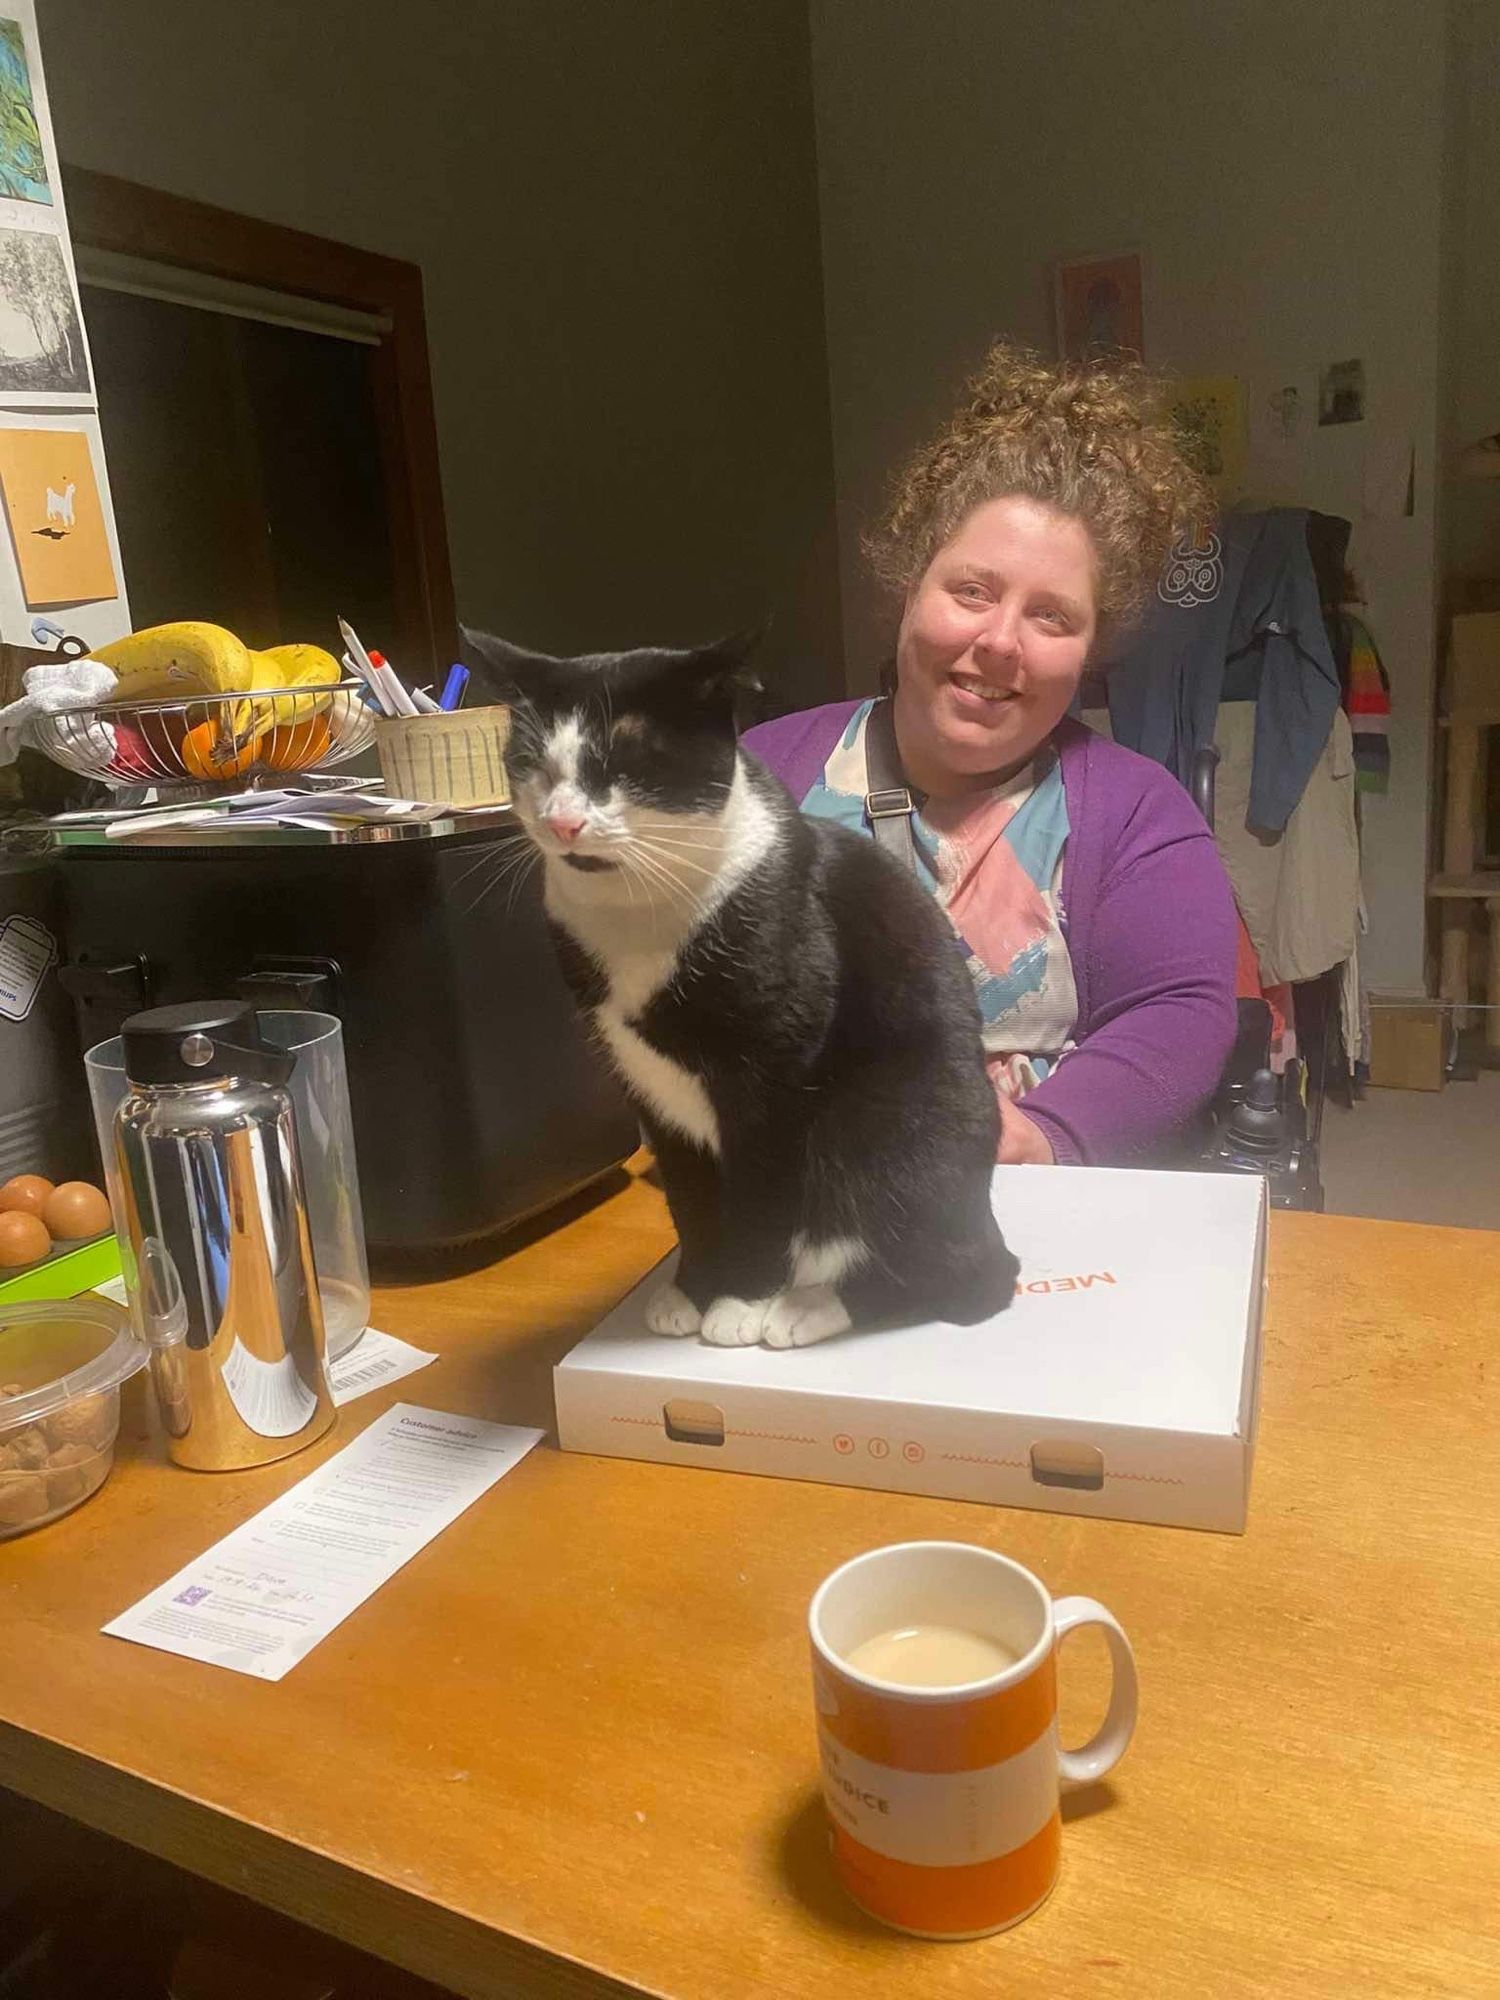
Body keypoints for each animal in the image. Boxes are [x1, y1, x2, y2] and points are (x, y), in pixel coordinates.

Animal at [468, 624, 1024, 1344]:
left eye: (626, 755)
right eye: (531, 761)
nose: (563, 821)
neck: (638, 910)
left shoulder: (775, 1082)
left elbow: (762, 1197)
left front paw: (741, 1300)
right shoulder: (646, 1089)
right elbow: (693, 1199)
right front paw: (695, 1287)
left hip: (889, 1120)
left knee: (964, 1276)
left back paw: (807, 1307)